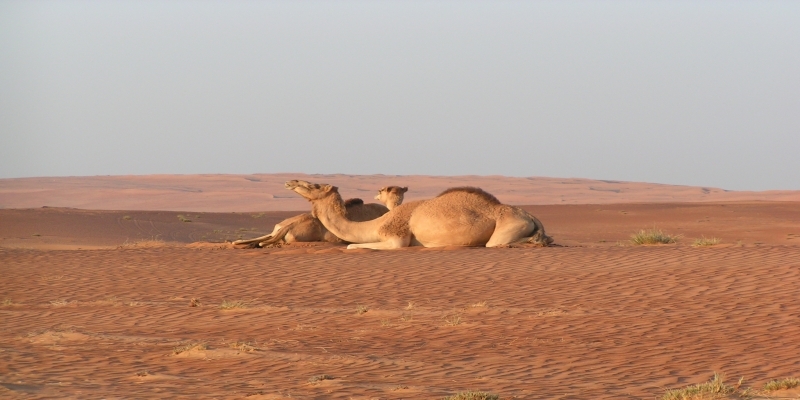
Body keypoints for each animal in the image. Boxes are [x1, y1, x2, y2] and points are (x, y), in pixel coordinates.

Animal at [285, 180, 553, 250]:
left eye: (314, 185)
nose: (291, 181)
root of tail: (531, 215)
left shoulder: (396, 239)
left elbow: (351, 246)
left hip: (507, 227)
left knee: (495, 243)